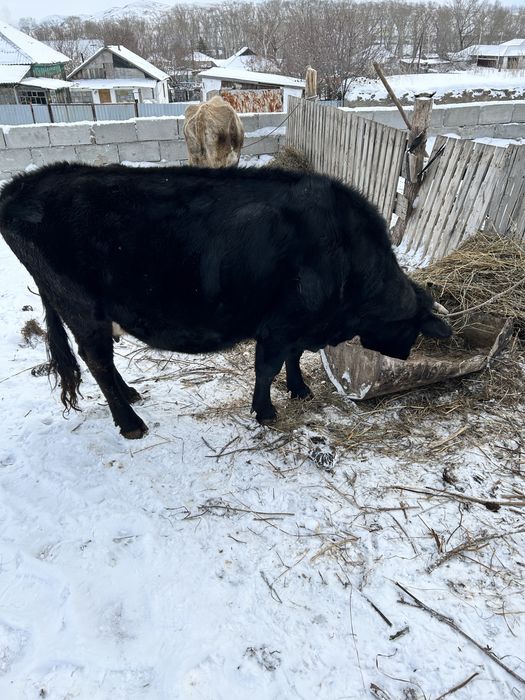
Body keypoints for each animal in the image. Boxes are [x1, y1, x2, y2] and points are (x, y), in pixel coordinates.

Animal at [0, 162, 451, 439]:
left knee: (102, 365)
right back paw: (130, 422)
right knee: (97, 360)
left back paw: (129, 395)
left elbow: (293, 359)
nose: (404, 358)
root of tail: (25, 185)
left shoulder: (298, 326)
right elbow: (267, 368)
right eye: (411, 329)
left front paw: (300, 390)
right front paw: (265, 412)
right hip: (81, 308)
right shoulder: (280, 324)